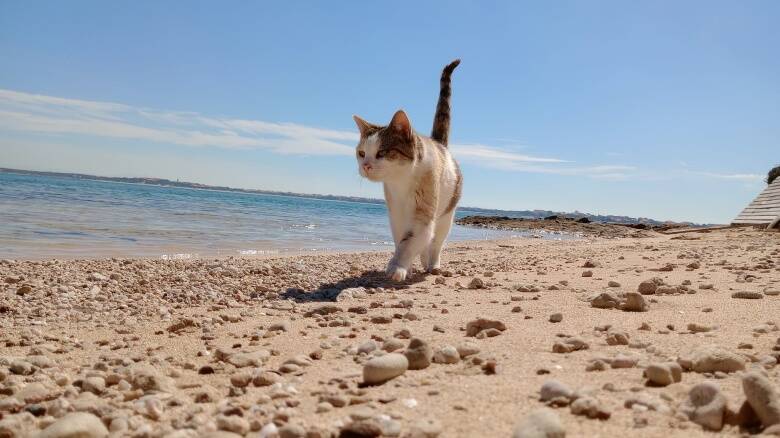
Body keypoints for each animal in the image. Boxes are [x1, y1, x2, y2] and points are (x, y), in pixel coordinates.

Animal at [354, 59, 464, 280]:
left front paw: (397, 267)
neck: (401, 182)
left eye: (382, 152)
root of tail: (439, 143)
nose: (366, 165)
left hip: (446, 215)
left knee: (437, 242)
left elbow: (410, 242)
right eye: (361, 153)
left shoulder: (422, 215)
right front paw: (406, 266)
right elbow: (401, 241)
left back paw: (433, 264)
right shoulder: (395, 214)